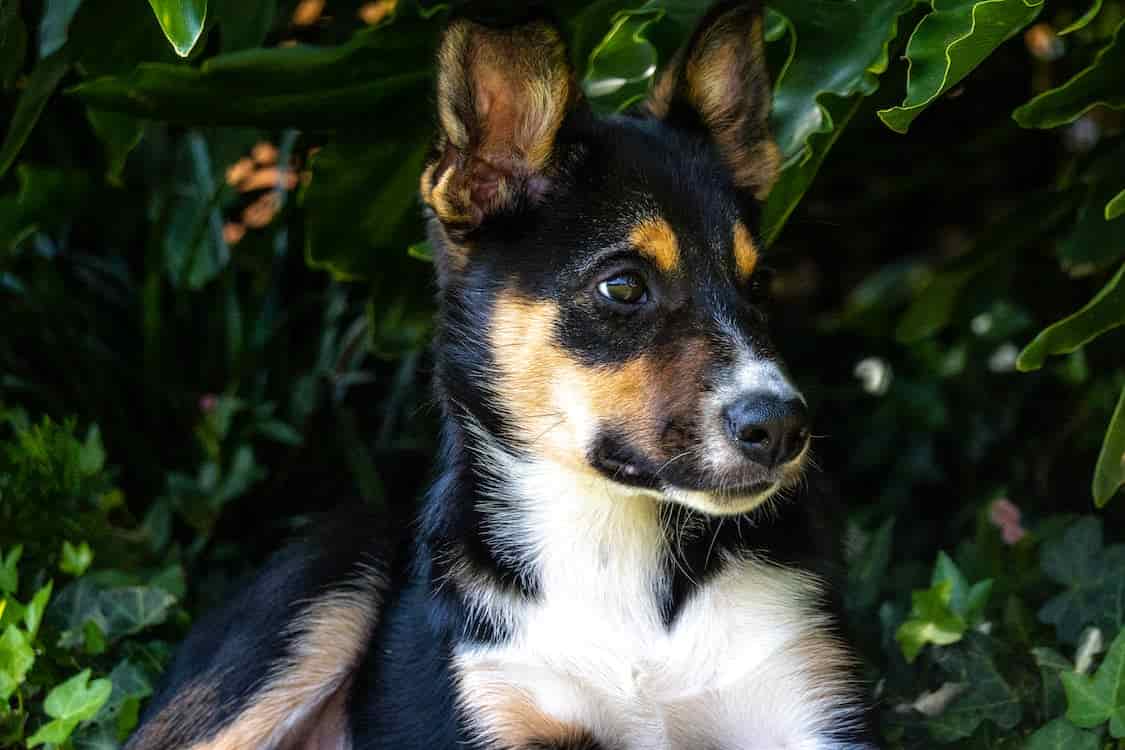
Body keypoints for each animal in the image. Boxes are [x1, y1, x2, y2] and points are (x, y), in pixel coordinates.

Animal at [125, 2, 877, 746]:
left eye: (758, 284)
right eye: (623, 286)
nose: (782, 429)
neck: (611, 545)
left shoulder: (807, 698)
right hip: (318, 587)